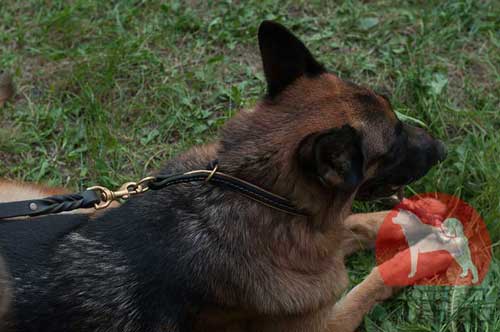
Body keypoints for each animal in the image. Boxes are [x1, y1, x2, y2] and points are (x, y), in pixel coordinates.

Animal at [0, 22, 446, 330]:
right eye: (393, 145)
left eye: (396, 115)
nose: (442, 149)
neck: (250, 188)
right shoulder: (326, 319)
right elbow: (377, 278)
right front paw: (429, 253)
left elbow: (359, 223)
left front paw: (421, 216)